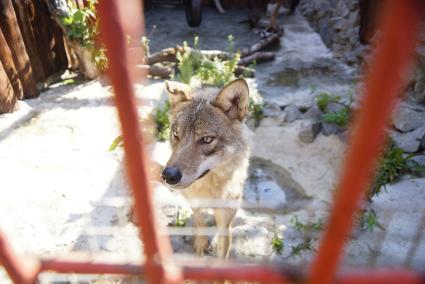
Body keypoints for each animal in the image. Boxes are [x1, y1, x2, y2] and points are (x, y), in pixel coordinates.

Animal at [161, 79, 250, 258]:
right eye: (176, 134)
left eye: (207, 139)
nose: (169, 175)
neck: (208, 189)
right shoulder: (194, 202)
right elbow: (199, 222)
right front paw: (201, 245)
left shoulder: (225, 222)